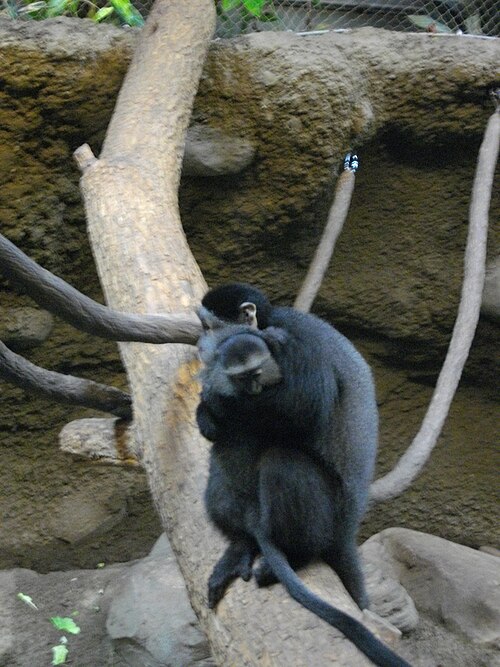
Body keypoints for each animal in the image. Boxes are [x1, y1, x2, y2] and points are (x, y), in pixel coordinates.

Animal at [196, 286, 412, 667]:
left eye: (209, 326)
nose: (200, 342)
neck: (266, 323)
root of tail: (348, 527)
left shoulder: (292, 341)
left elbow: (306, 406)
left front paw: (214, 401)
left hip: (328, 513)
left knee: (283, 460)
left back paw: (294, 555)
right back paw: (242, 544)